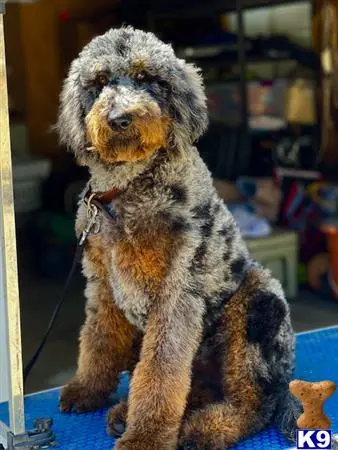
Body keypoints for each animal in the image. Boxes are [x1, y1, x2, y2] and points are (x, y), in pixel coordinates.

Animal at [57, 26, 302, 448]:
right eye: (100, 82)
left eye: (145, 77)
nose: (120, 118)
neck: (129, 187)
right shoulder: (102, 284)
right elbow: (98, 339)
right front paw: (88, 388)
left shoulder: (176, 296)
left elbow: (160, 371)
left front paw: (146, 436)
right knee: (199, 386)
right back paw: (127, 412)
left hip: (256, 305)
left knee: (255, 402)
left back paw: (204, 428)